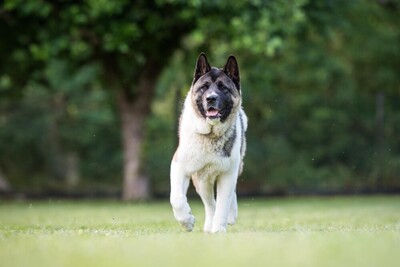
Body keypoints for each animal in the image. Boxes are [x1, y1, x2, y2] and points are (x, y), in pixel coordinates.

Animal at [170, 53, 247, 233]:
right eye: (204, 87)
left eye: (223, 88)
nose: (211, 98)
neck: (210, 136)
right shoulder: (179, 166)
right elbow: (176, 198)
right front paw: (187, 221)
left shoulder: (228, 174)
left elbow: (223, 204)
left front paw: (219, 229)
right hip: (202, 180)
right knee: (210, 203)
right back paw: (208, 225)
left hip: (234, 169)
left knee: (228, 197)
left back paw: (230, 216)